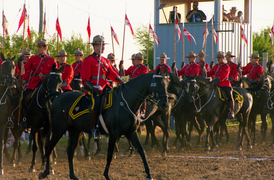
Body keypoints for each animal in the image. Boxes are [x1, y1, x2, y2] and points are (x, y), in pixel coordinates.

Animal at [39, 69, 169, 180]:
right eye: (158, 84)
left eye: (167, 84)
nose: (165, 104)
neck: (125, 102)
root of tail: (59, 96)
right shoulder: (113, 134)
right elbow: (110, 154)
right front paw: (106, 175)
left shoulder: (131, 133)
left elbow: (142, 152)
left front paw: (149, 174)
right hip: (58, 130)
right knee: (49, 147)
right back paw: (45, 172)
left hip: (75, 131)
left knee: (70, 152)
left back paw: (73, 175)